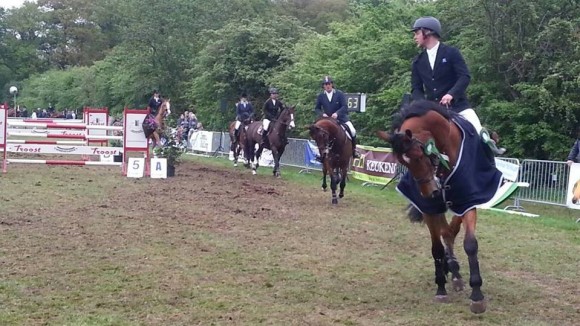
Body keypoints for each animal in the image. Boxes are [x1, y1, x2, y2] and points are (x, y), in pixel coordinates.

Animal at [376, 99, 502, 314]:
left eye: (419, 155)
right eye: (403, 163)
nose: (429, 192)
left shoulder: (468, 201)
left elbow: (470, 244)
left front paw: (477, 295)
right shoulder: (429, 208)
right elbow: (436, 248)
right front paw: (441, 287)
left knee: (452, 230)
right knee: (446, 233)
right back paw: (452, 271)